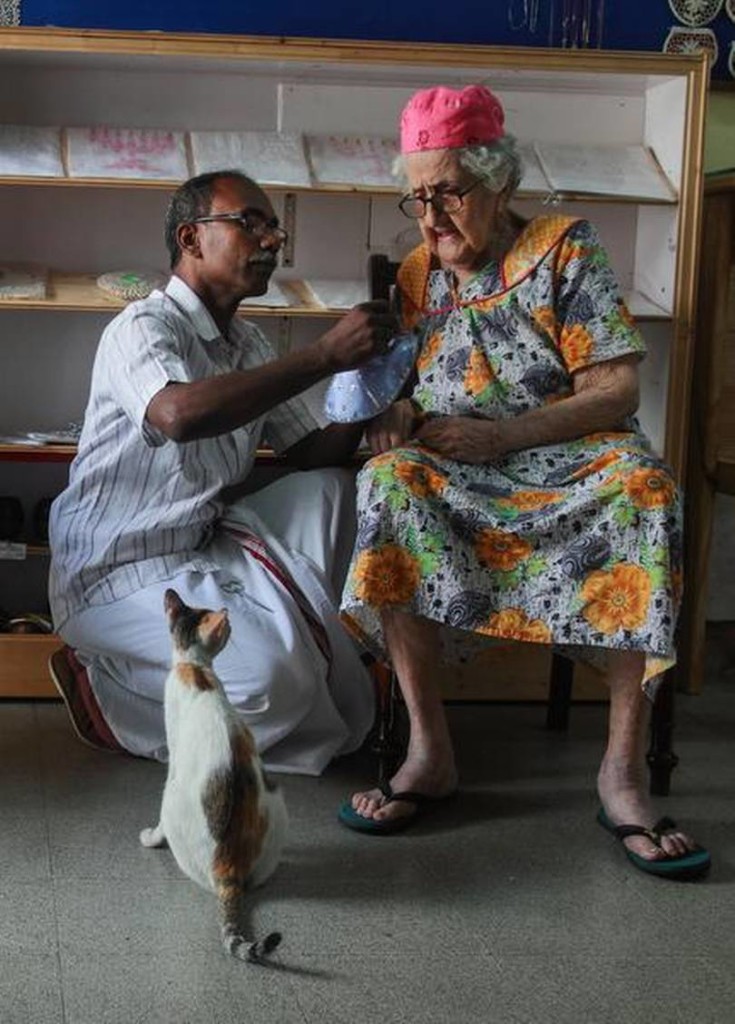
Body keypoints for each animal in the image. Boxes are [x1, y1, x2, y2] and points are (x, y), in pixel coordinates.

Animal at [139, 589, 288, 962]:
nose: (232, 623)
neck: (196, 667)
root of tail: (229, 867)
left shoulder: (173, 751)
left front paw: (150, 838)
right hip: (277, 796)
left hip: (170, 798)